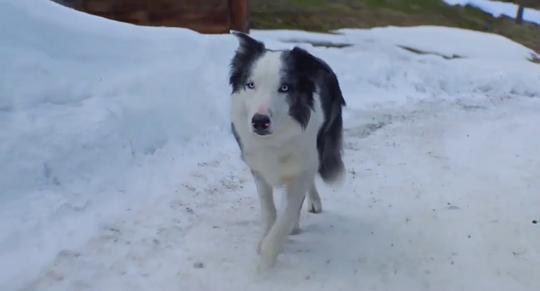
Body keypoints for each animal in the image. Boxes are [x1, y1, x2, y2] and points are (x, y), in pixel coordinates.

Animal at [228, 32, 346, 270]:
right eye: (250, 84)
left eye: (284, 88)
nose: (260, 121)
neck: (276, 139)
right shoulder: (259, 170)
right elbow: (268, 210)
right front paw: (264, 238)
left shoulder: (301, 170)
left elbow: (286, 215)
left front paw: (267, 257)